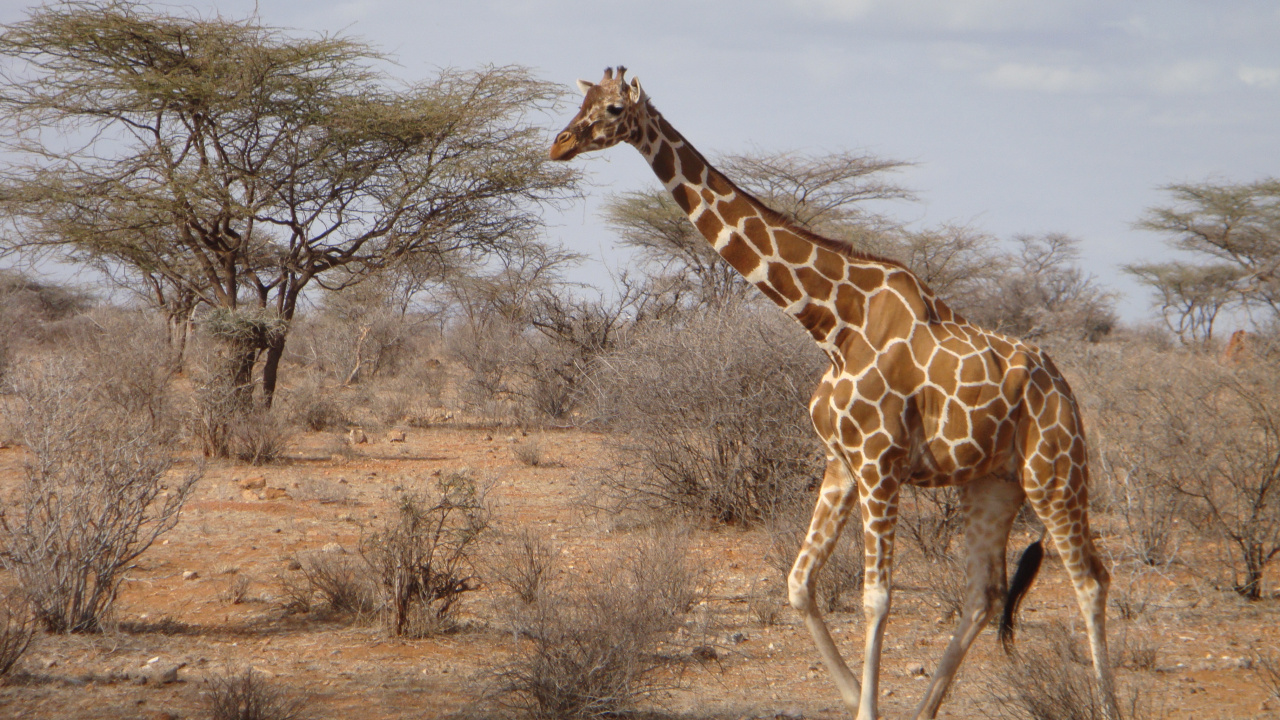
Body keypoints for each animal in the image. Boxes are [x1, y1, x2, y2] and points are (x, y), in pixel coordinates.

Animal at [550, 67, 1118, 720]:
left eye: (613, 109)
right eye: (583, 101)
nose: (560, 144)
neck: (832, 323)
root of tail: (1064, 388)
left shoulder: (879, 464)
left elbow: (876, 598)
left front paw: (867, 703)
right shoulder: (840, 461)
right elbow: (799, 583)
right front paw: (852, 697)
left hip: (1054, 475)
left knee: (1091, 580)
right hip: (992, 484)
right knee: (984, 593)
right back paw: (926, 710)